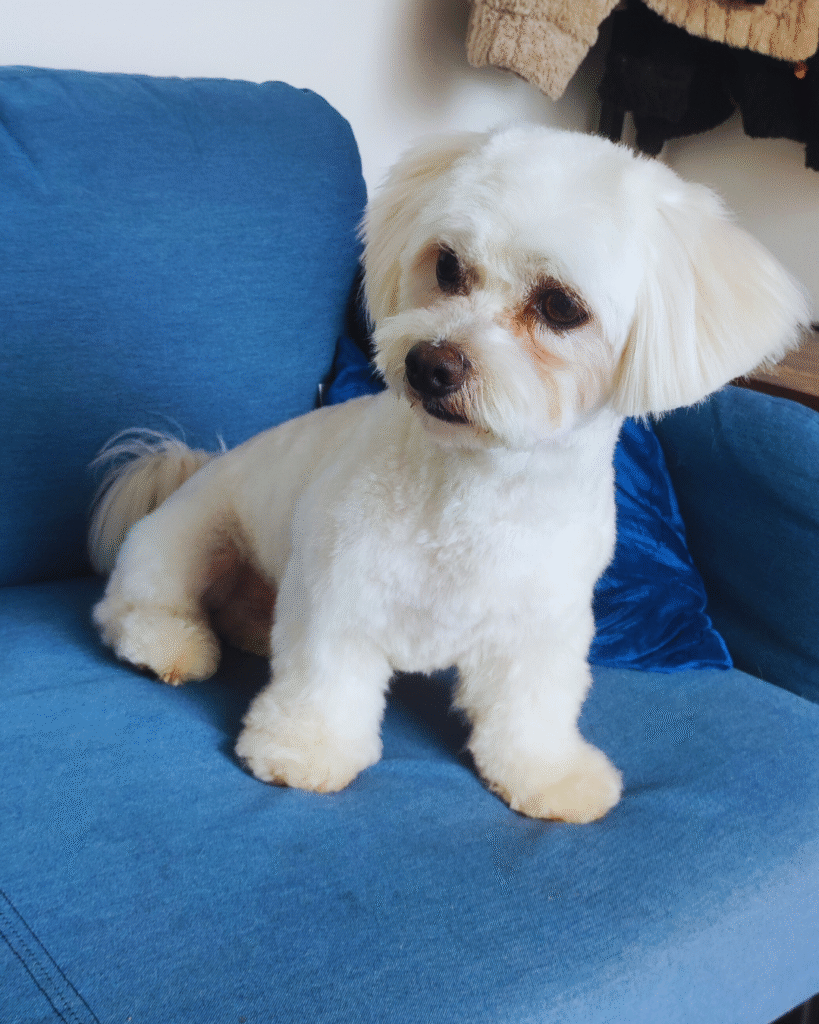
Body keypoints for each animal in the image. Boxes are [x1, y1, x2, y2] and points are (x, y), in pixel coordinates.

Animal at [89, 125, 808, 822]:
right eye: (447, 265)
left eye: (560, 306)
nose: (429, 364)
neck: (476, 490)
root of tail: (193, 467)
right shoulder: (336, 592)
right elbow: (325, 681)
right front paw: (303, 748)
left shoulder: (543, 625)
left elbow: (532, 710)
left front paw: (550, 776)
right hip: (191, 538)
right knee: (133, 604)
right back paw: (170, 641)